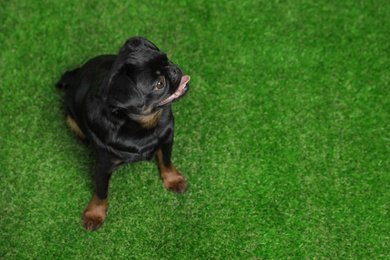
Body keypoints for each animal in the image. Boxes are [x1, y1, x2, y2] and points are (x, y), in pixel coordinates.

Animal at [57, 36, 191, 230]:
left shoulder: (167, 137)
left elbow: (166, 161)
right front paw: (95, 213)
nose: (173, 69)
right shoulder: (103, 165)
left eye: (166, 59)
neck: (141, 126)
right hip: (69, 116)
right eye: (159, 84)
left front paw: (172, 179)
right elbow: (101, 191)